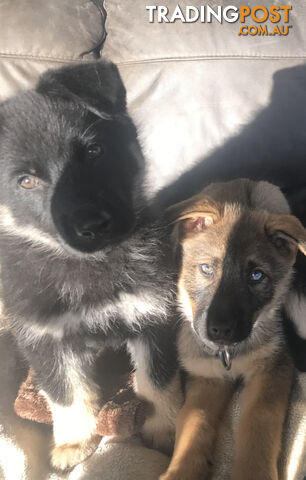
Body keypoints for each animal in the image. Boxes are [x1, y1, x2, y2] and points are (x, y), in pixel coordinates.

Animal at [0, 62, 182, 470]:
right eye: (26, 181)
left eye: (94, 151)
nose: (94, 226)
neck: (91, 265)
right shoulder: (45, 341)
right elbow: (67, 393)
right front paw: (74, 441)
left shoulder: (154, 316)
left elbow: (157, 381)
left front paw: (164, 430)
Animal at [160, 178, 306, 480]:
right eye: (206, 269)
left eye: (256, 276)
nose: (220, 331)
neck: (229, 355)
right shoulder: (206, 377)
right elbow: (193, 419)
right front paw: (181, 470)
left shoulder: (271, 367)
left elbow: (259, 420)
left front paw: (254, 472)